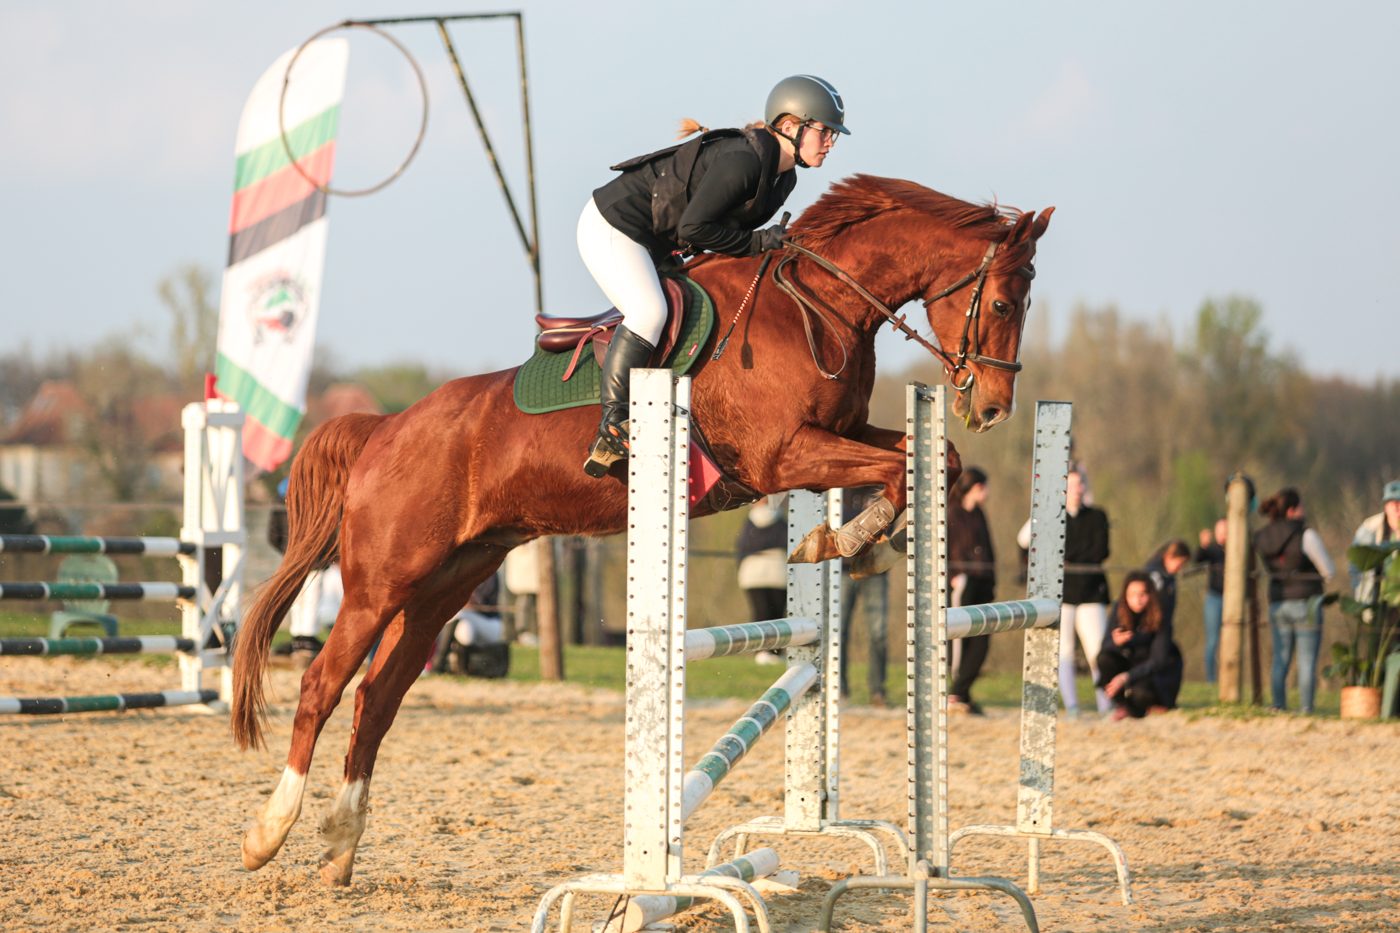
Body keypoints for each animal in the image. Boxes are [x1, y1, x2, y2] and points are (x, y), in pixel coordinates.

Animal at [231, 173, 1053, 885]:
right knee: (322, 684)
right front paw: (844, 543)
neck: (815, 305)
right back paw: (269, 832)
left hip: (445, 585)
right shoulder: (784, 455)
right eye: (1002, 302)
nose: (992, 406)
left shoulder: (834, 438)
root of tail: (384, 429)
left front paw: (852, 542)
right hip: (382, 582)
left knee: (378, 697)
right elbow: (899, 467)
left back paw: (341, 843)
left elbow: (926, 458)